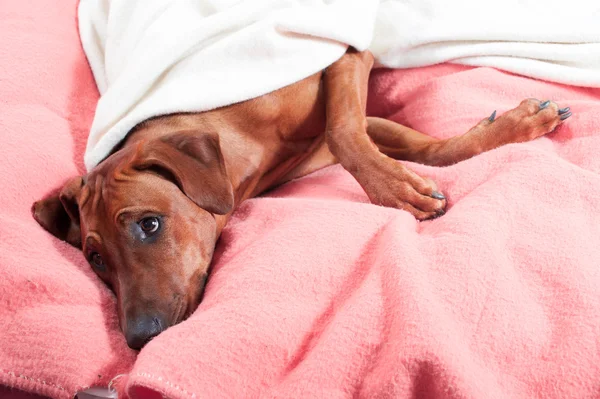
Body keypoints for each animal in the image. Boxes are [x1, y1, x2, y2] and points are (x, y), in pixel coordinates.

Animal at [31, 49, 572, 350]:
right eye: (95, 258)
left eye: (149, 224)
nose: (138, 338)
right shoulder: (346, 130)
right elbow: (402, 144)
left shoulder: (345, 58)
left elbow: (348, 130)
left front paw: (402, 188)